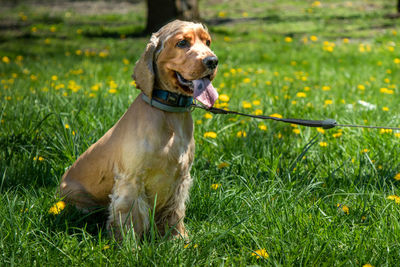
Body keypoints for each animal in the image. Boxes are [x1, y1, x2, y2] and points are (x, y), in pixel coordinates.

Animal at [60, 19, 219, 240]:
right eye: (182, 43)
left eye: (208, 42)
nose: (213, 61)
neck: (170, 114)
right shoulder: (131, 181)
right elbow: (130, 219)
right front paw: (128, 245)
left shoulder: (180, 180)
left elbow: (175, 213)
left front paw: (178, 239)